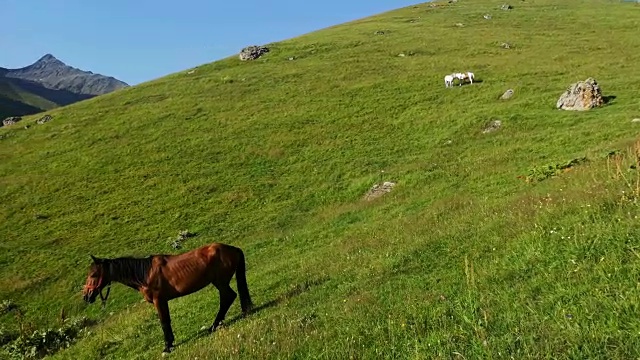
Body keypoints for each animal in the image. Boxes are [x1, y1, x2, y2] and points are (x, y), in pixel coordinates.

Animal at [83, 243, 255, 352]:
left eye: (94, 274)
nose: (87, 296)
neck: (145, 273)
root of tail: (232, 249)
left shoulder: (159, 300)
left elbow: (164, 322)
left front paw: (168, 346)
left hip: (220, 282)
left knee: (228, 297)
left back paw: (214, 325)